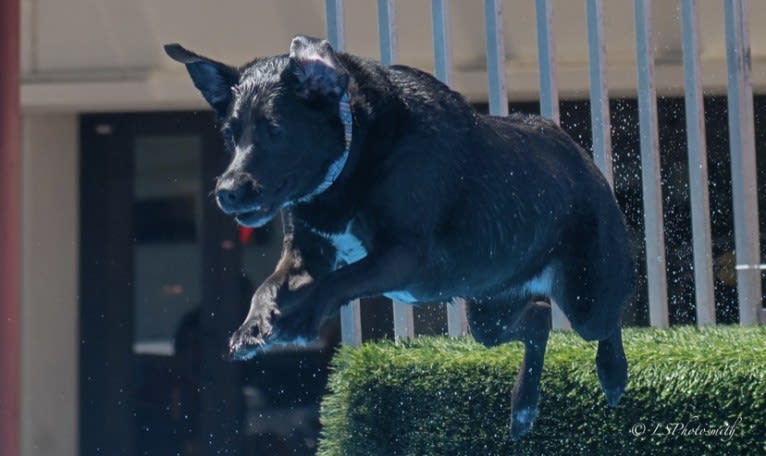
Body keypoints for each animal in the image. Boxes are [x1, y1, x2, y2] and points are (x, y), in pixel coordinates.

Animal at [166, 35, 636, 438]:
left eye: (274, 129)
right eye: (231, 134)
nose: (226, 191)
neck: (354, 155)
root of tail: (584, 159)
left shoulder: (403, 255)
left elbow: (338, 282)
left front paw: (298, 323)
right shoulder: (308, 253)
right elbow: (266, 287)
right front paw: (253, 327)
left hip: (586, 295)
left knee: (606, 321)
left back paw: (612, 375)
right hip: (488, 311)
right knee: (537, 318)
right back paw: (523, 407)